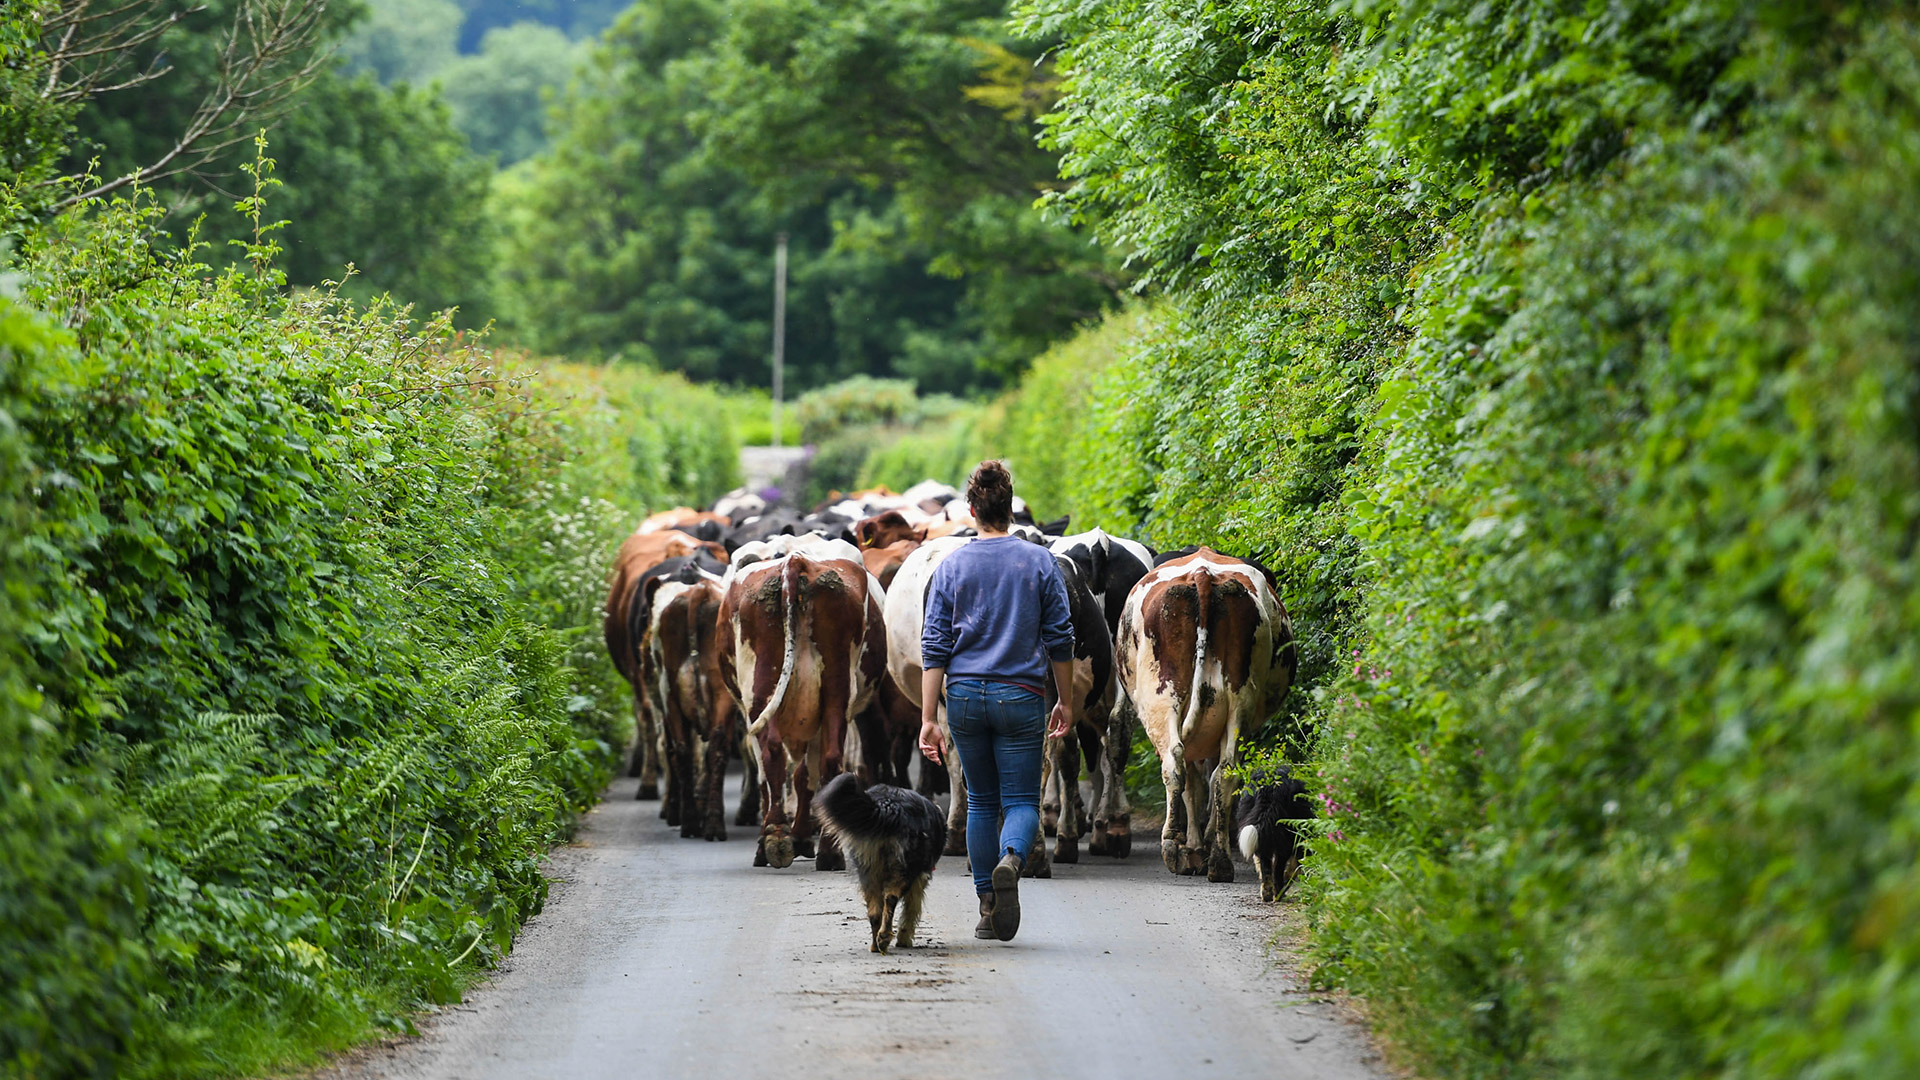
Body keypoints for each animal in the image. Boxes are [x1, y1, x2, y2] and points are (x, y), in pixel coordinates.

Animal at [718, 534, 887, 868]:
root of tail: (796, 560)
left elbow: (785, 777)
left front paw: (794, 838)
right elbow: (804, 776)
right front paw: (802, 837)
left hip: (762, 689)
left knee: (774, 756)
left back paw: (777, 840)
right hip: (833, 688)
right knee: (828, 759)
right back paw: (826, 851)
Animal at [814, 768, 948, 945]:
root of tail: (889, 805)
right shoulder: (919, 878)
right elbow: (911, 909)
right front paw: (904, 937)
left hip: (868, 871)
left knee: (875, 911)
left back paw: (876, 943)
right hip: (904, 870)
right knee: (891, 899)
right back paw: (884, 938)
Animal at [1121, 545, 1297, 876]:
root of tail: (1201, 573)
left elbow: (1193, 787)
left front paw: (1193, 847)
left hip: (1163, 698)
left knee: (1176, 764)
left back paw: (1175, 847)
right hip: (1238, 701)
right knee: (1225, 771)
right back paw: (1220, 859)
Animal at [1236, 764, 1313, 899]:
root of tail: (1270, 785)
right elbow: (1293, 868)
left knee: (1265, 863)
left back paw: (1267, 893)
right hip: (1286, 835)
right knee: (1278, 867)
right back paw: (1278, 893)